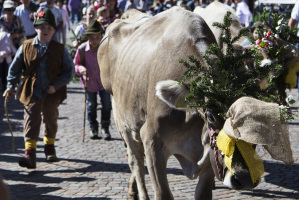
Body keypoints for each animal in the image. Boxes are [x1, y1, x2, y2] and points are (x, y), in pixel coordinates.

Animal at [99, 7, 296, 199]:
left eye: (252, 121)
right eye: (210, 116)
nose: (245, 178)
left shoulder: (209, 152)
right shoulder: (151, 140)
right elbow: (162, 192)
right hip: (124, 120)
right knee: (136, 162)